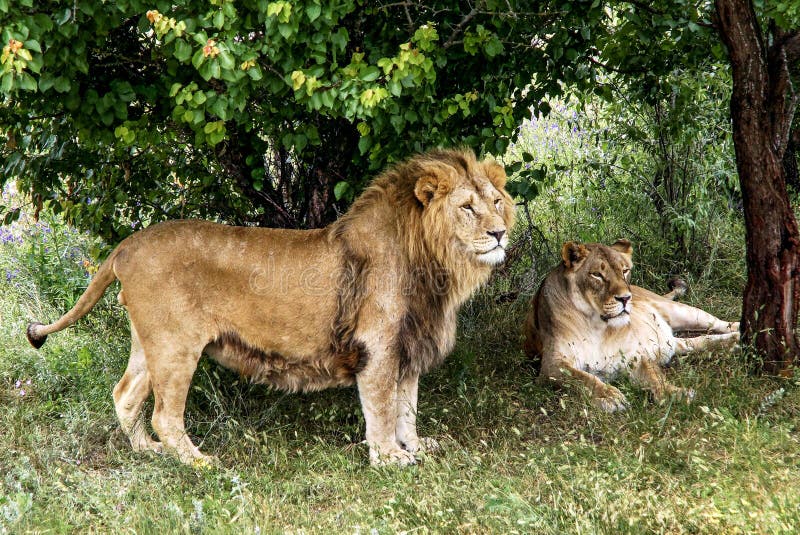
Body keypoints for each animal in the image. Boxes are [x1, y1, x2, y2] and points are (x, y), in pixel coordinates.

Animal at [28, 148, 516, 464]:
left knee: (125, 394)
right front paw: (388, 458)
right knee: (165, 414)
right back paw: (195, 462)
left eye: (496, 202)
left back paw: (149, 451)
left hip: (149, 341)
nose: (499, 234)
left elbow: (407, 406)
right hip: (174, 345)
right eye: (467, 207)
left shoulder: (410, 343)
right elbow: (381, 407)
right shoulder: (378, 345)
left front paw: (413, 446)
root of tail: (126, 245)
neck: (436, 265)